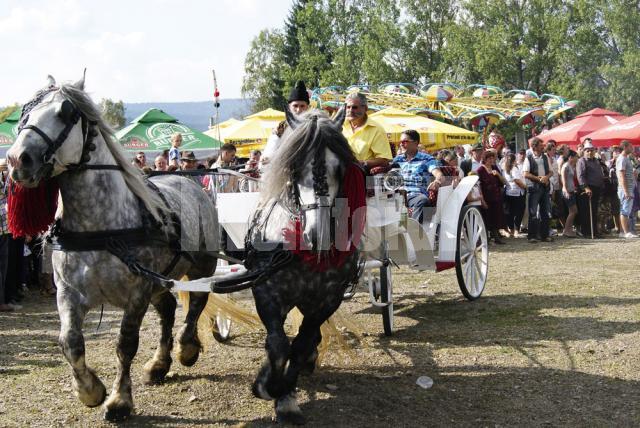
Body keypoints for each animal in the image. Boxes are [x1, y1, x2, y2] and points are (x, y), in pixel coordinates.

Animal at [6, 77, 219, 422]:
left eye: (66, 113)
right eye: (24, 112)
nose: (16, 159)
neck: (99, 229)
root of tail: (191, 183)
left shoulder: (137, 293)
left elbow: (125, 344)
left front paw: (119, 401)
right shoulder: (68, 292)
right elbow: (70, 342)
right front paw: (90, 391)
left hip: (200, 265)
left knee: (196, 303)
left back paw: (186, 348)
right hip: (159, 279)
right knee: (168, 309)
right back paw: (158, 365)